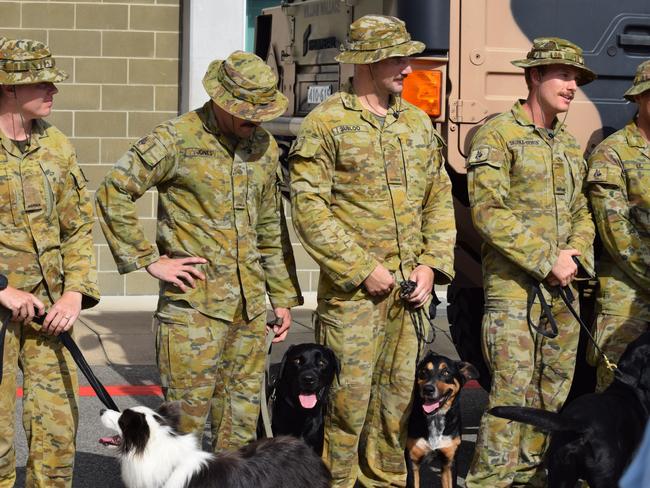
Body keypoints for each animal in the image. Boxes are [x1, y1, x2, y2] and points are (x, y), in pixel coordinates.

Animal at [404, 352, 476, 486]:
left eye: (446, 372)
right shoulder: (412, 461)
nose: (428, 389)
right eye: (424, 371)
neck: (435, 419)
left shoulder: (449, 461)